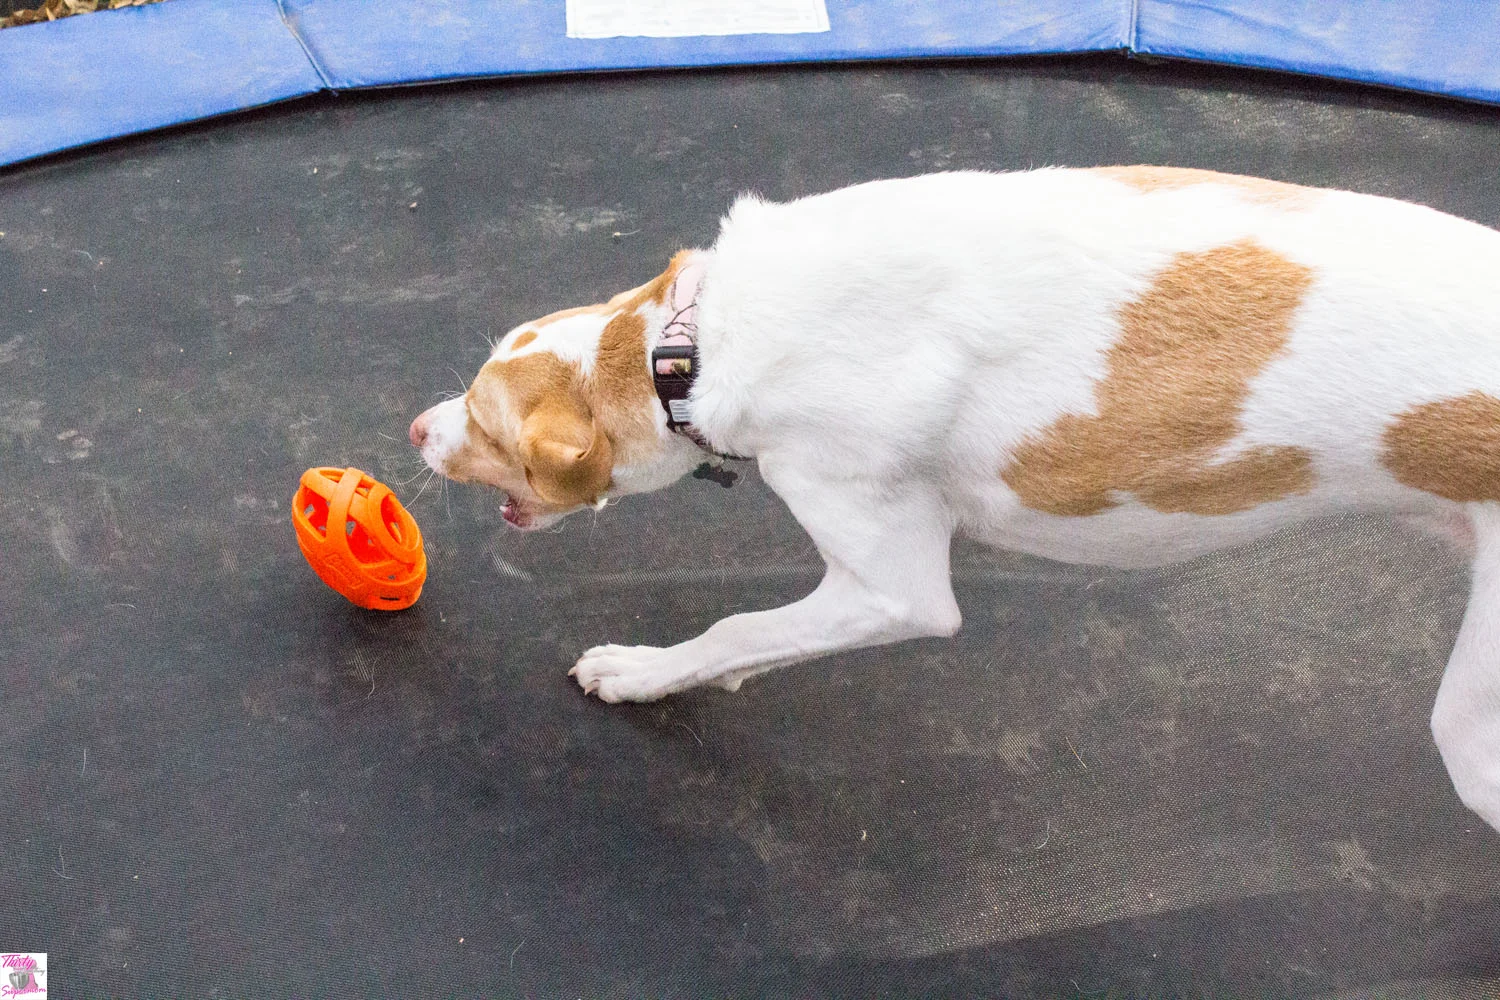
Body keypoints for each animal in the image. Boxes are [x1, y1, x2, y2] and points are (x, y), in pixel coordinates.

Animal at [405, 167, 1500, 833]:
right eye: (476, 387)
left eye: (490, 432)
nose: (416, 429)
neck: (693, 341)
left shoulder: (891, 589)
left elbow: (733, 630)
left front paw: (643, 672)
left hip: (1472, 727)